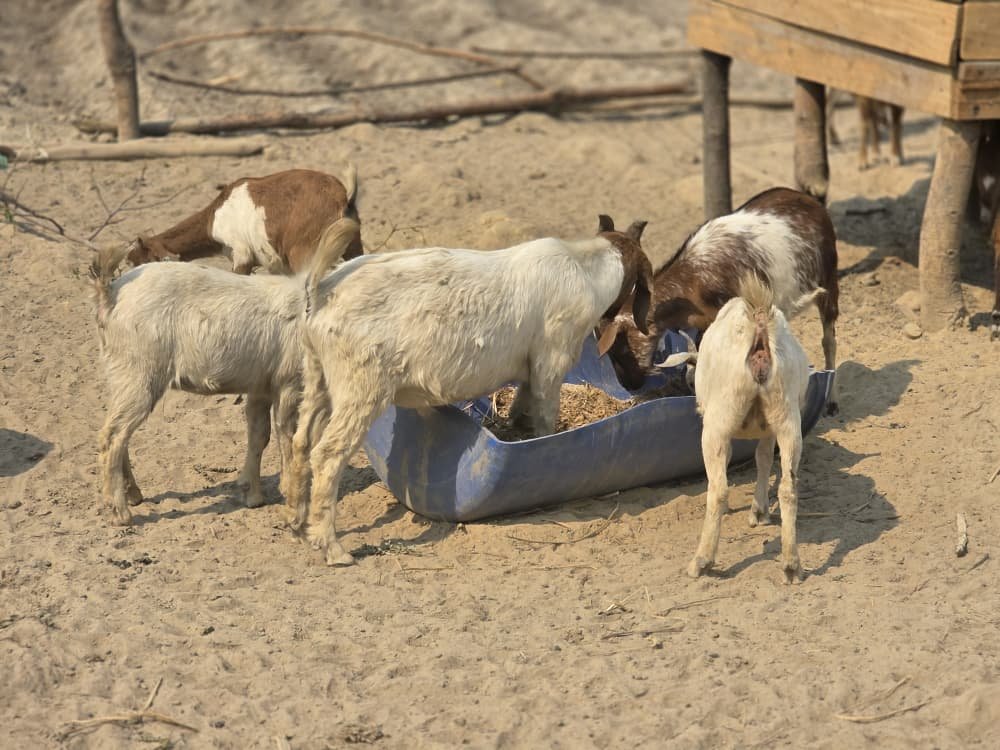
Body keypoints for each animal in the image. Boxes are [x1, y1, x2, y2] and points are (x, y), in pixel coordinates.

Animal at [92, 219, 359, 526]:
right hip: (140, 372)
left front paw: (252, 494)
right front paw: (286, 488)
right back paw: (120, 511)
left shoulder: (261, 385)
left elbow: (259, 434)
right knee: (112, 435)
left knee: (117, 431)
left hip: (122, 374)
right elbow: (287, 434)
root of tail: (110, 294)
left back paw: (134, 494)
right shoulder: (289, 383)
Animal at [127, 166, 363, 274]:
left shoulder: (241, 254)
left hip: (305, 251)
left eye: (140, 262)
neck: (215, 215)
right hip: (352, 245)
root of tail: (342, 196)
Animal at [284, 216, 653, 565]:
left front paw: (514, 430)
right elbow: (546, 419)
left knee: (301, 440)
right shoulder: (552, 357)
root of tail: (321, 291)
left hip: (317, 374)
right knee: (328, 453)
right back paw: (333, 549)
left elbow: (521, 404)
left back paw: (297, 524)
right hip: (360, 384)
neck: (586, 267)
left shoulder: (529, 367)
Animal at [596, 187, 839, 413]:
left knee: (828, 340)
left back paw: (830, 400)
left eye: (621, 348)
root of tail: (808, 199)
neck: (695, 279)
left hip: (828, 279)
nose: (631, 384)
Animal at [663, 275, 818, 583]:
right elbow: (763, 459)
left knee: (719, 489)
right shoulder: (769, 430)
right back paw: (791, 565)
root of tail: (759, 322)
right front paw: (759, 511)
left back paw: (702, 562)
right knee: (788, 488)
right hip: (786, 416)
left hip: (719, 421)